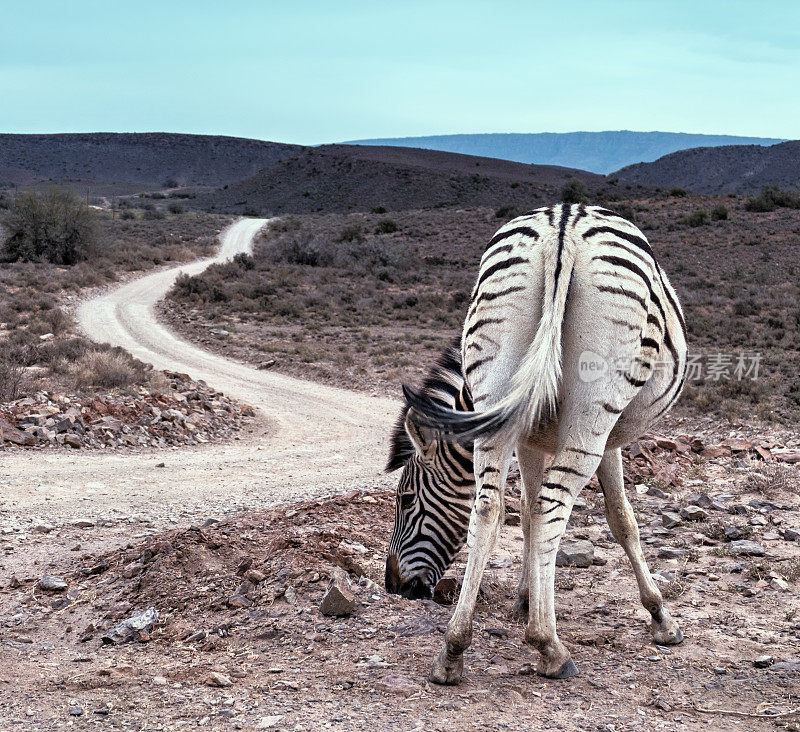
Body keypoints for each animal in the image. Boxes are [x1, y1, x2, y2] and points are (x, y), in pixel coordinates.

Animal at [384, 203, 684, 684]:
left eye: (407, 499)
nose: (393, 587)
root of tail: (561, 229)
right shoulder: (605, 441)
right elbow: (620, 520)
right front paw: (660, 617)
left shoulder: (527, 435)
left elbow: (524, 514)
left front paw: (524, 598)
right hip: (592, 412)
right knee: (550, 506)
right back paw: (549, 646)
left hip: (497, 372)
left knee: (488, 508)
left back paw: (453, 649)